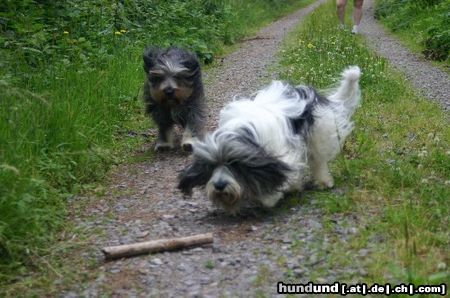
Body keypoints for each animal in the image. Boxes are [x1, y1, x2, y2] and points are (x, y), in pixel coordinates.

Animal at [178, 66, 360, 213]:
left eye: (234, 164)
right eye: (211, 166)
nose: (219, 186)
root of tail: (305, 91)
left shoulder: (283, 156)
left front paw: (270, 197)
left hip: (317, 133)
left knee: (318, 159)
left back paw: (323, 181)